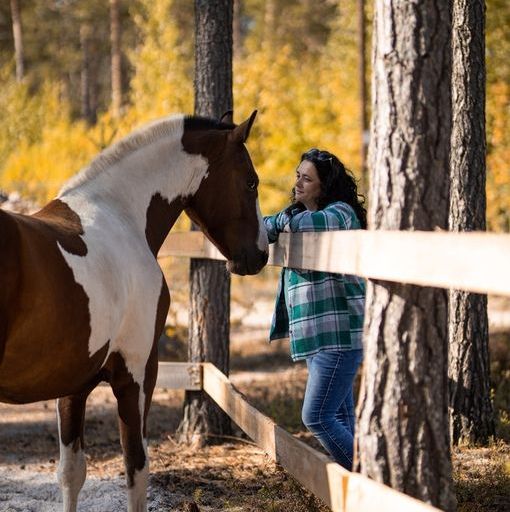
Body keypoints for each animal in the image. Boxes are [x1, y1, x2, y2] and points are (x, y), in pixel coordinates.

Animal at [0, 110, 270, 510]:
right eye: (251, 182)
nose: (261, 254)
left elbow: (71, 473)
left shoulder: (73, 383)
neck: (121, 215)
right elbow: (136, 468)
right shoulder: (137, 373)